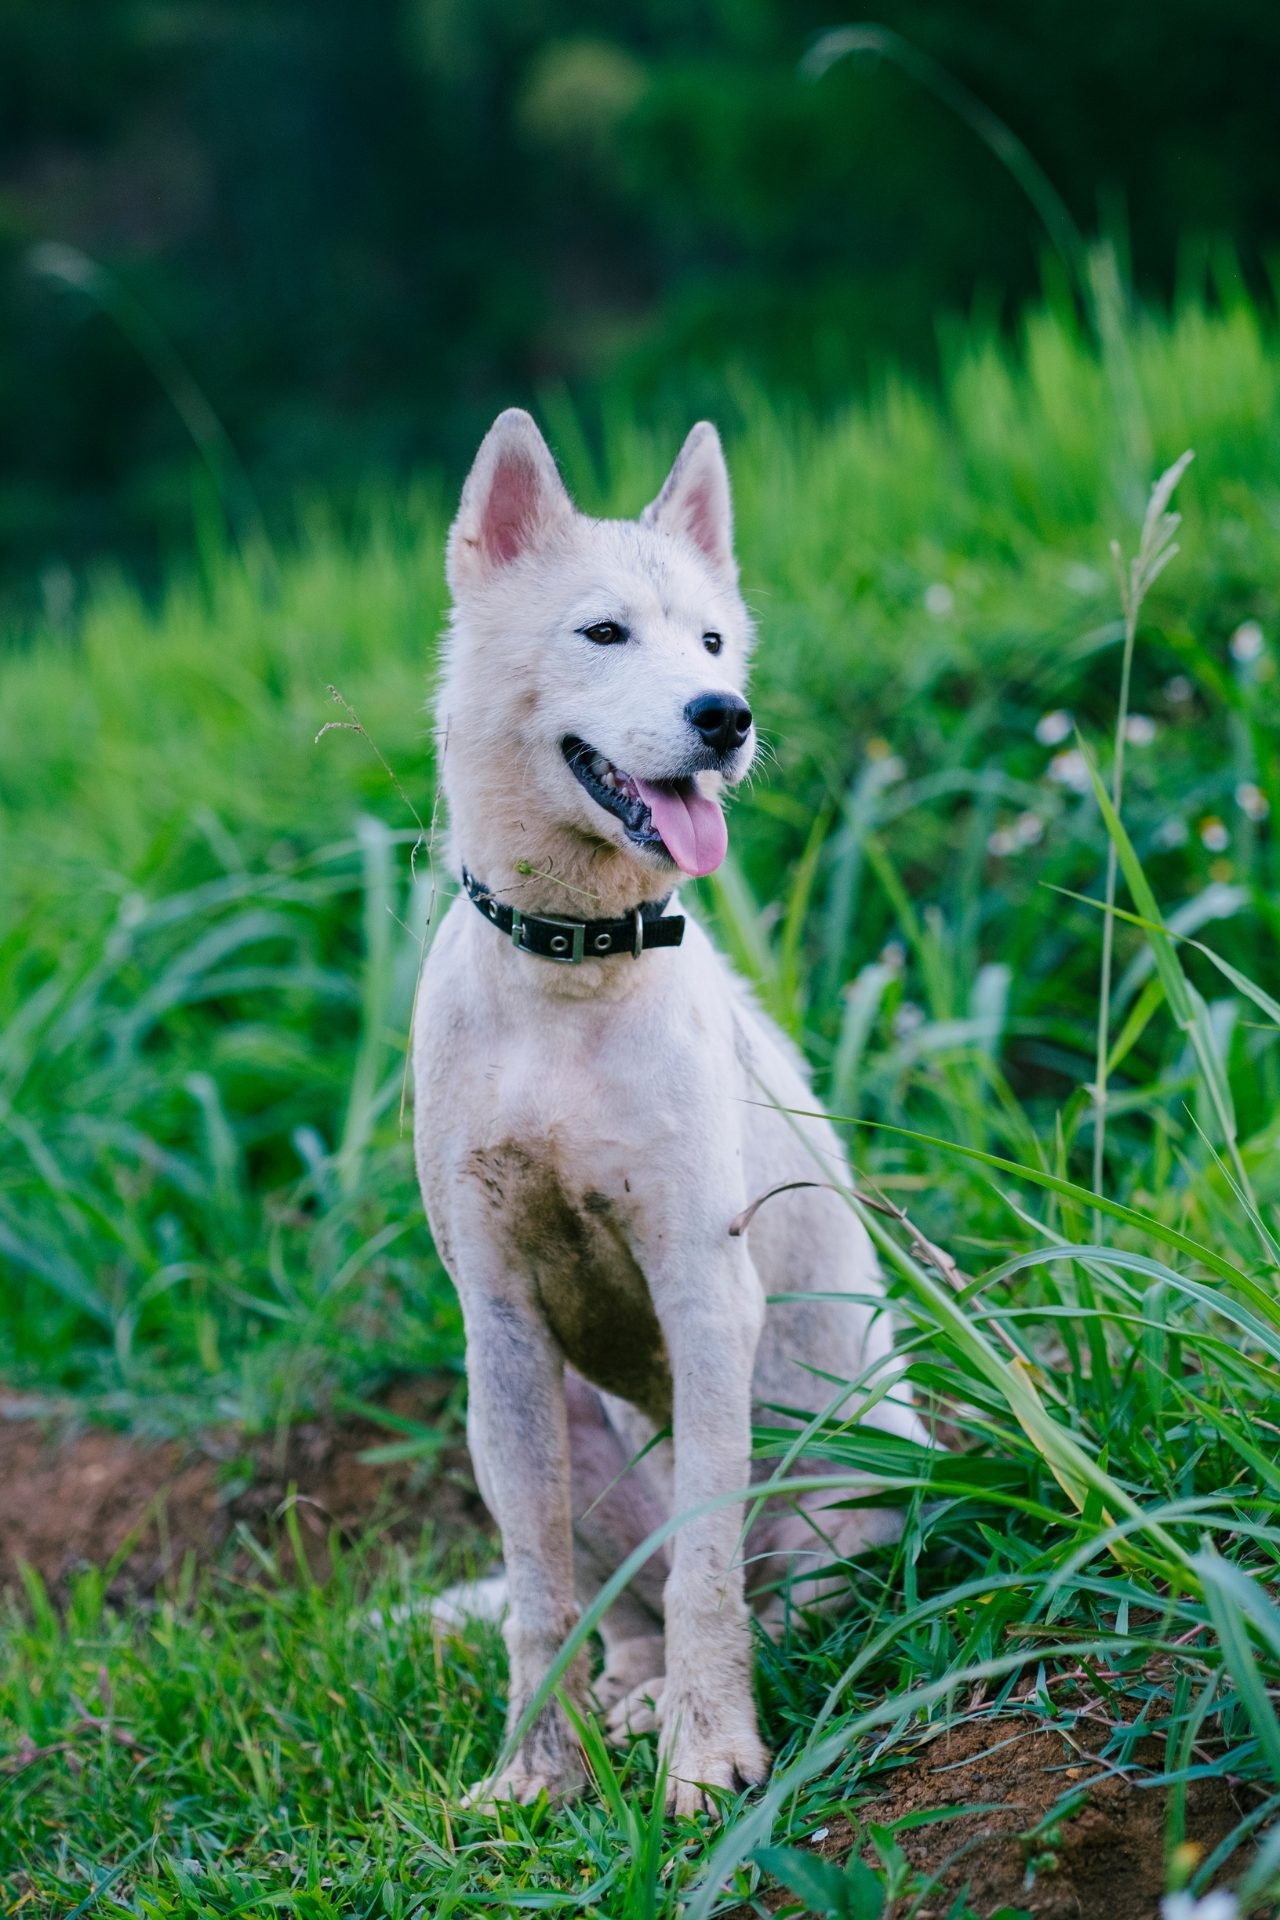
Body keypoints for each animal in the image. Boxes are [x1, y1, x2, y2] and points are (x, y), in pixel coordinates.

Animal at [416, 412, 924, 1820]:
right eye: (602, 633)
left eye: (708, 642)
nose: (725, 717)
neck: (567, 976)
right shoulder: (500, 1325)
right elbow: (536, 1599)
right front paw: (534, 1772)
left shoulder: (705, 1296)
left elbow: (706, 1579)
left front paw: (711, 1755)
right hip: (570, 1439)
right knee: (615, 1611)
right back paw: (626, 1698)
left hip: (849, 1470)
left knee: (782, 1594)